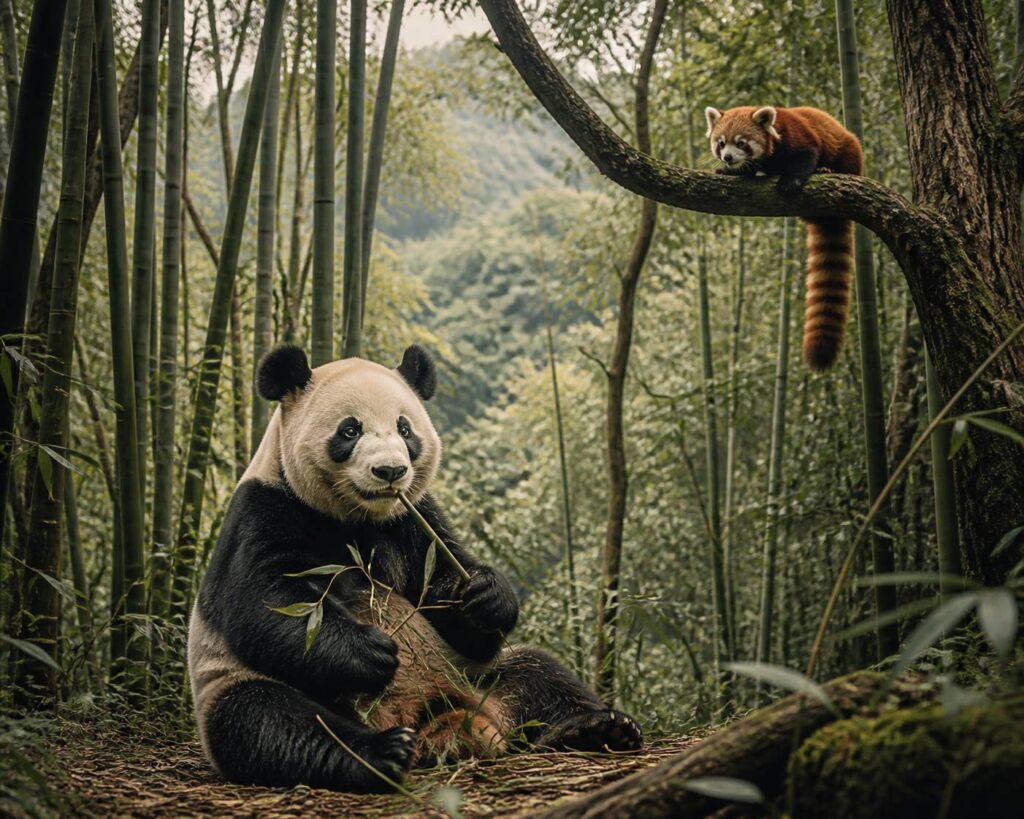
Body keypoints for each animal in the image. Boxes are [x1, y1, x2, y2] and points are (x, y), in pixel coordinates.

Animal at [187, 344, 643, 792]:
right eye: (349, 430)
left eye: (405, 429)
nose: (390, 471)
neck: (357, 516)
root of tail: (434, 718)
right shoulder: (266, 508)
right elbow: (265, 605)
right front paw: (371, 650)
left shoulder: (414, 518)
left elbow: (447, 590)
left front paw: (486, 596)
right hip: (238, 687)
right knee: (271, 721)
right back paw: (381, 752)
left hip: (474, 677)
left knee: (539, 673)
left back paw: (599, 728)